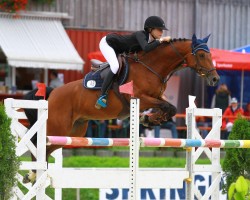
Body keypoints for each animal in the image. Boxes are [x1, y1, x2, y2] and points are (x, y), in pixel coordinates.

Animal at [22, 34, 220, 183]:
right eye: (201, 55)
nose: (215, 79)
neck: (152, 67)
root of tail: (52, 93)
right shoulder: (140, 97)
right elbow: (167, 106)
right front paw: (149, 119)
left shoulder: (155, 97)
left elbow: (170, 107)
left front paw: (150, 119)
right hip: (58, 128)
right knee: (38, 143)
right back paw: (32, 173)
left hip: (74, 131)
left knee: (47, 148)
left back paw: (33, 174)